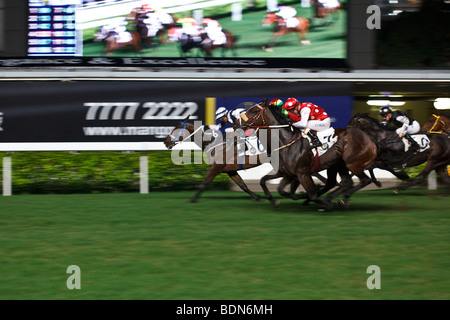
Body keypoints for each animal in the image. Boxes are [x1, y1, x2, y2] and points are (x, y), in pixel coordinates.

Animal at [241, 101, 378, 209]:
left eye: (253, 111)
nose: (238, 122)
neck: (286, 142)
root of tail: (370, 139)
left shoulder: (302, 173)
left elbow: (312, 195)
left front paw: (322, 201)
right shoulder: (288, 173)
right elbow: (269, 183)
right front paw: (275, 200)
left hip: (352, 163)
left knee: (364, 180)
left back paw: (339, 200)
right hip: (338, 165)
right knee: (345, 183)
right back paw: (332, 198)